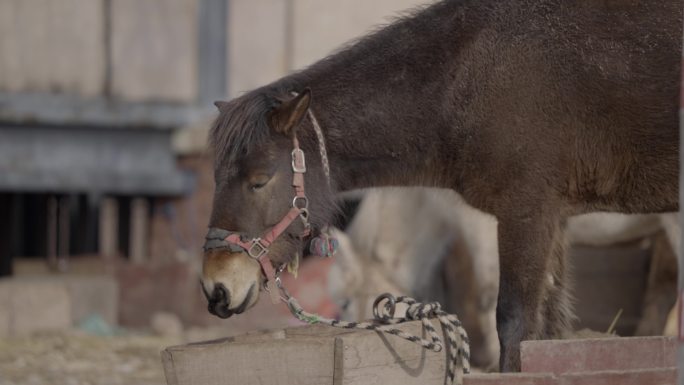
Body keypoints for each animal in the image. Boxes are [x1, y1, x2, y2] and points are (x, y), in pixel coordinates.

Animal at [200, 0, 680, 370]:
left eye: (260, 181)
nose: (216, 289)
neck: (466, 77)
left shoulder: (523, 213)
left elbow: (512, 319)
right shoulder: (554, 221)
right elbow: (546, 324)